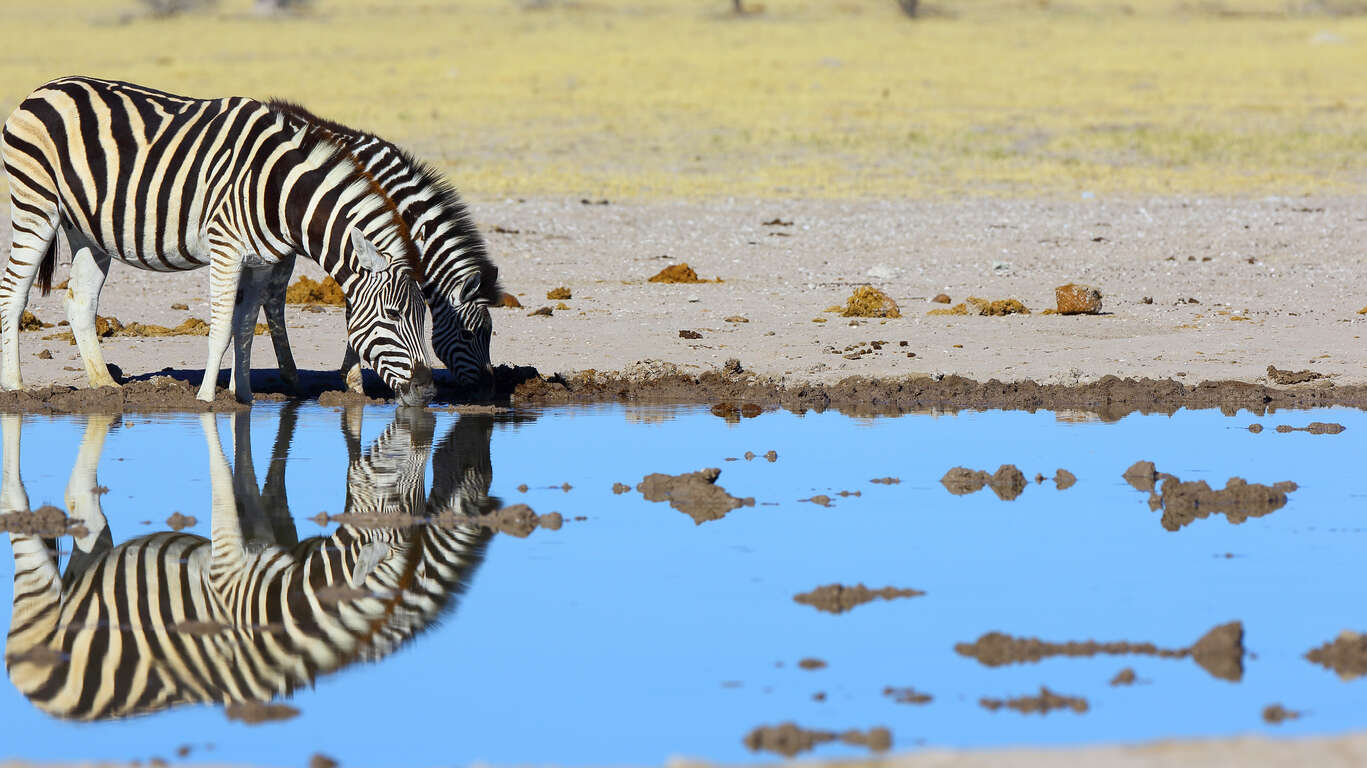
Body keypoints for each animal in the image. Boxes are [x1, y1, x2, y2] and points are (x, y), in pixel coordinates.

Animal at [0, 74, 431, 404]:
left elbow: (245, 327)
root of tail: (44, 88)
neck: (279, 191)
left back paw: (104, 385)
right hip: (36, 203)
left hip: (87, 230)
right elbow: (221, 329)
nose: (427, 391)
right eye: (393, 314)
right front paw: (208, 398)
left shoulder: (261, 261)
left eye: (423, 316)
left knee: (81, 302)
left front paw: (245, 398)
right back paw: (16, 387)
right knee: (13, 292)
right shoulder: (227, 248)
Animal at [1, 407, 497, 716]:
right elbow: (227, 491)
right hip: (40, 590)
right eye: (395, 496)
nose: (475, 473)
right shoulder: (227, 571)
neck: (289, 606)